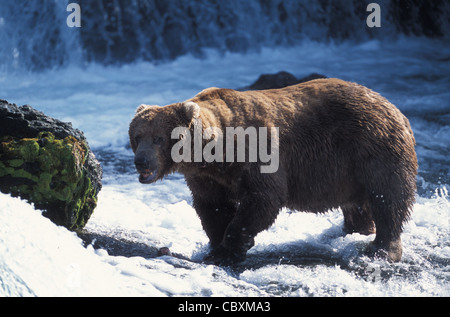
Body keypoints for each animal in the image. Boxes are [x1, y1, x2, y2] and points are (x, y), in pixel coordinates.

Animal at [128, 78, 416, 264]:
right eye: (137, 136)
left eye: (159, 139)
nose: (141, 162)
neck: (215, 153)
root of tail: (393, 107)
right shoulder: (207, 177)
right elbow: (212, 206)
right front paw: (216, 244)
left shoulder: (258, 155)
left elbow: (263, 200)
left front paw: (226, 251)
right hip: (351, 170)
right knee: (358, 205)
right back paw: (353, 231)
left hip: (373, 147)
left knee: (388, 199)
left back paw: (381, 250)